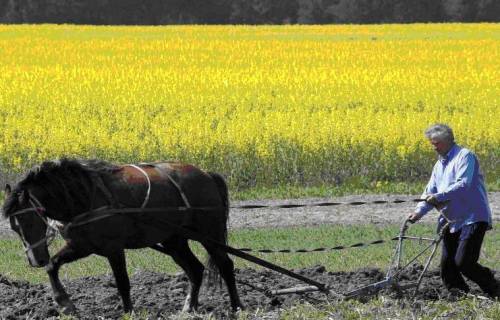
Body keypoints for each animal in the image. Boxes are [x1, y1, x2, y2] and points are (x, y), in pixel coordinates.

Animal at [1, 159, 244, 314]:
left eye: (29, 219)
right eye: (13, 226)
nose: (35, 260)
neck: (85, 196)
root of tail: (207, 174)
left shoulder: (114, 249)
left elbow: (122, 282)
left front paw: (128, 312)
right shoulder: (81, 246)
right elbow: (53, 265)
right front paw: (64, 303)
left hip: (209, 233)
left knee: (225, 264)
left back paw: (237, 306)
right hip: (174, 240)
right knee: (195, 269)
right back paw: (188, 307)